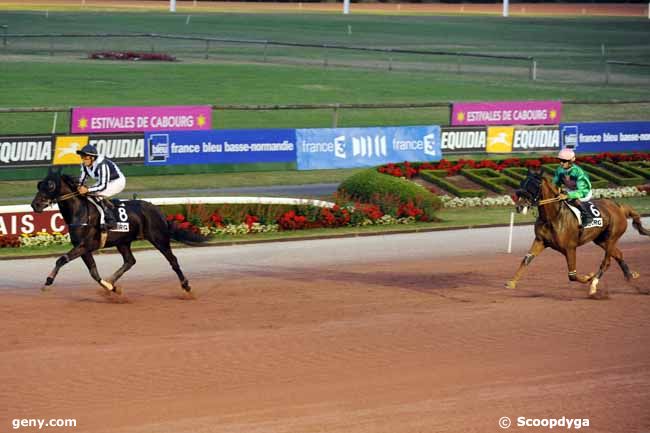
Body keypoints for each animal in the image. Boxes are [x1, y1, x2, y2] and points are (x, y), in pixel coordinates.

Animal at [30, 167, 208, 296]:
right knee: (130, 261)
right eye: (40, 184)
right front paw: (111, 288)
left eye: (50, 185)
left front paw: (48, 282)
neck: (80, 212)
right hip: (123, 242)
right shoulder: (84, 248)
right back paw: (112, 281)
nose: (35, 205)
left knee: (173, 260)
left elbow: (61, 259)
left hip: (159, 238)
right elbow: (93, 272)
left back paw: (186, 286)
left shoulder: (84, 245)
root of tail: (157, 210)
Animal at [506, 167, 648, 298]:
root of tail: (620, 207)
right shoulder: (541, 241)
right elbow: (526, 260)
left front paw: (588, 277)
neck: (553, 217)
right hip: (601, 240)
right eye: (522, 183)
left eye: (534, 184)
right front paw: (511, 283)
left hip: (612, 237)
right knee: (618, 254)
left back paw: (594, 285)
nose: (520, 206)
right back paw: (631, 275)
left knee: (606, 262)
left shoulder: (570, 248)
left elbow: (572, 275)